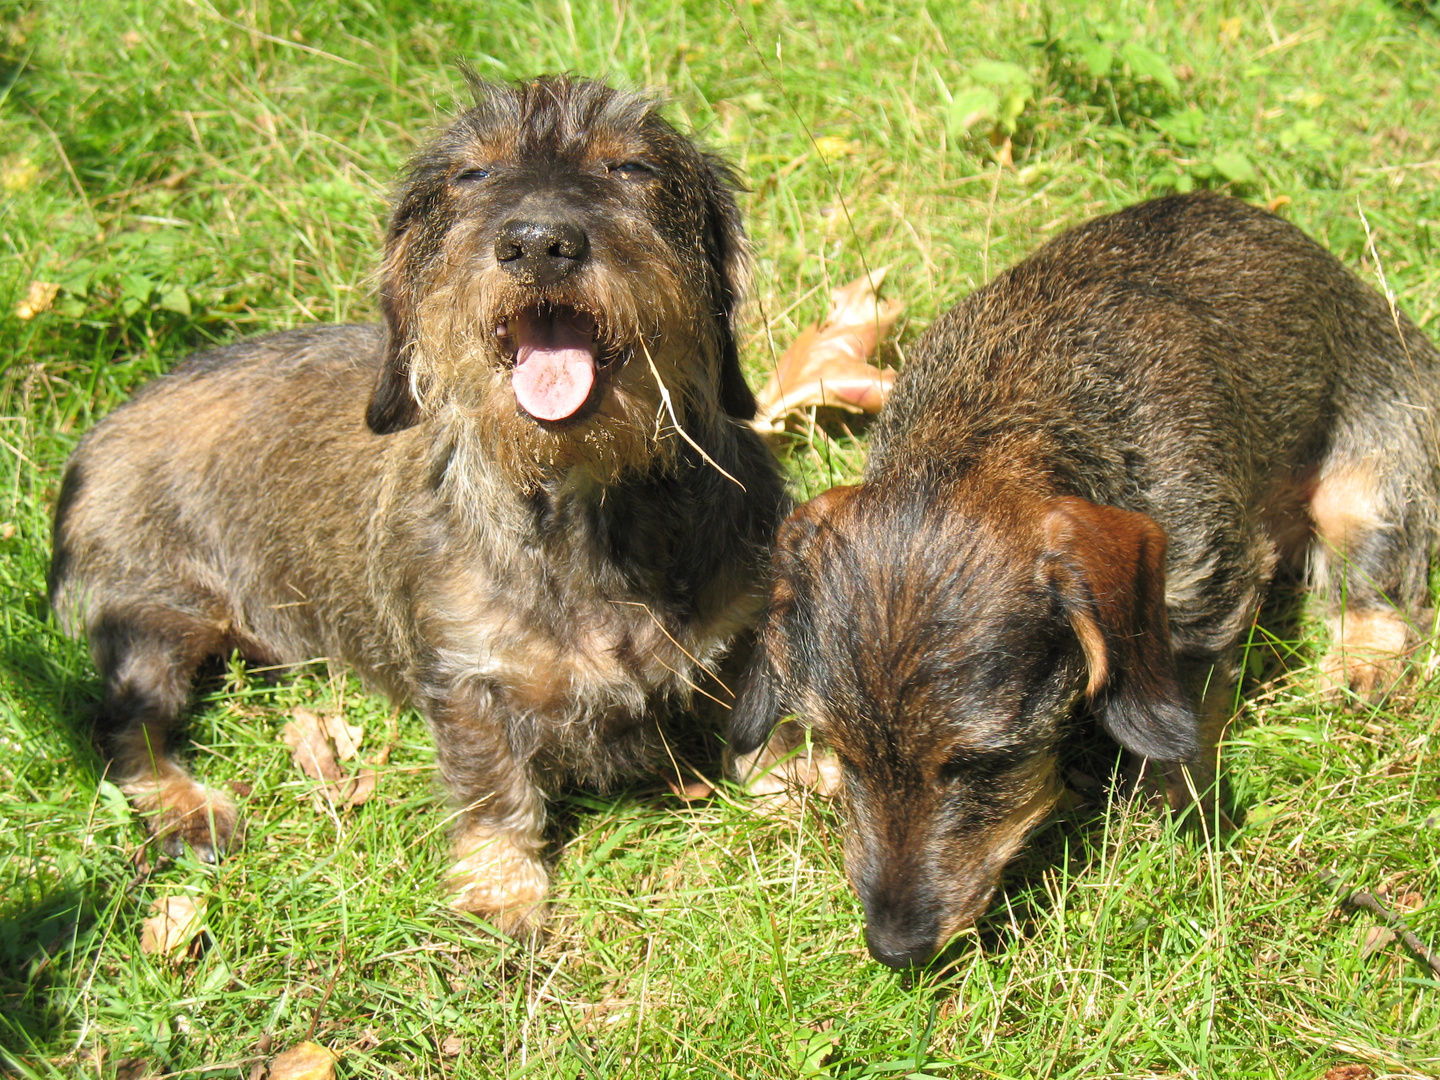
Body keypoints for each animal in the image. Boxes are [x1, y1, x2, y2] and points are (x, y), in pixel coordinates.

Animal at [50, 76, 789, 938]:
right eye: (471, 175)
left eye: (632, 166)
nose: (539, 241)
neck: (585, 505)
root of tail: (97, 436)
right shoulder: (467, 682)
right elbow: (494, 790)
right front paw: (501, 888)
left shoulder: (749, 622)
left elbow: (769, 714)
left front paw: (803, 793)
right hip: (156, 621)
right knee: (122, 727)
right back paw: (185, 810)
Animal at [731, 192, 1440, 973]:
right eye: (844, 750)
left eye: (986, 761)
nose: (895, 949)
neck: (1001, 413)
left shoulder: (1203, 595)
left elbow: (1186, 720)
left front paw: (1167, 815)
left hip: (1362, 487)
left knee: (1379, 594)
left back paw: (1361, 667)